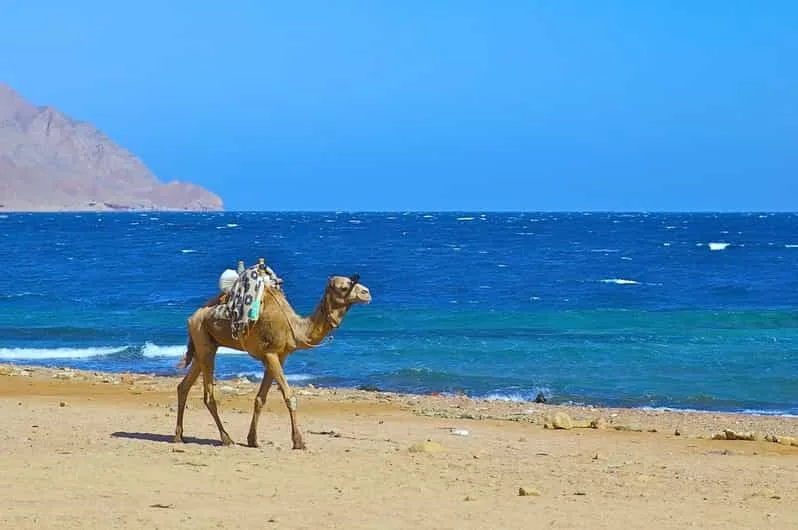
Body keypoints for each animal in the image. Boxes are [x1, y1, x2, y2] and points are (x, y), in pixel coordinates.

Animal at [174, 273, 371, 449]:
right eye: (344, 287)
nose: (367, 292)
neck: (296, 328)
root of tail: (192, 317)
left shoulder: (279, 357)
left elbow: (260, 398)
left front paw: (252, 440)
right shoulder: (270, 354)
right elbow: (289, 396)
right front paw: (298, 442)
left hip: (205, 345)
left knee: (184, 386)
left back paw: (178, 436)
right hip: (203, 339)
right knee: (208, 395)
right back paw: (226, 438)